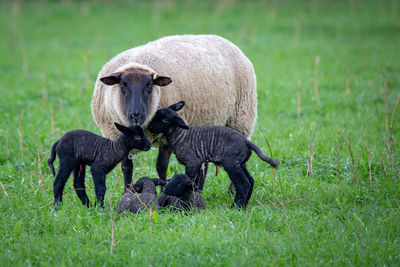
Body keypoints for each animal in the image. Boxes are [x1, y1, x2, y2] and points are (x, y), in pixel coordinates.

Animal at [91, 34, 256, 191]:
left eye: (150, 85)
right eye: (122, 84)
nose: (136, 115)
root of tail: (223, 39)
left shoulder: (168, 134)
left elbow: (161, 166)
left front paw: (163, 191)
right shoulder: (122, 138)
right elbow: (126, 167)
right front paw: (128, 192)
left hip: (240, 121)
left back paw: (231, 191)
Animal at [147, 101, 278, 208]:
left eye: (165, 120)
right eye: (156, 115)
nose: (149, 127)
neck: (180, 136)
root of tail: (247, 142)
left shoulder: (192, 162)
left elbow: (191, 180)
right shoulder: (198, 163)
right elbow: (197, 183)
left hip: (232, 164)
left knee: (243, 184)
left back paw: (236, 206)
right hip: (241, 163)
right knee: (250, 181)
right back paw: (244, 205)